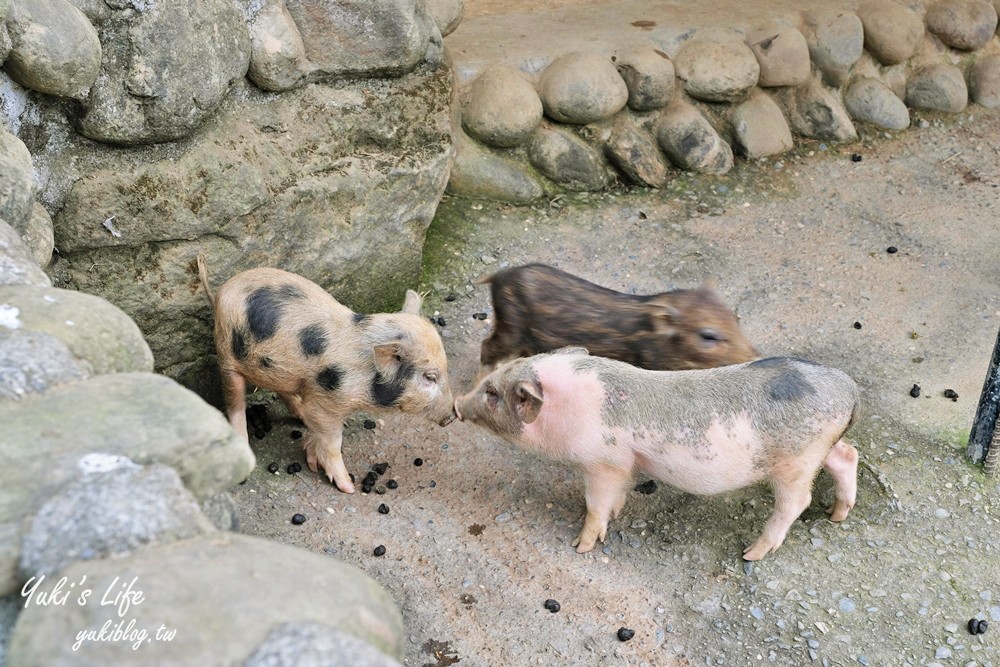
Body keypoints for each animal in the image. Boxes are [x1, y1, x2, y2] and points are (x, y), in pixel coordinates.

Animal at [196, 253, 454, 494]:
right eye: (429, 377)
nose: (451, 416)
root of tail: (221, 291)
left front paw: (313, 457)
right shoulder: (326, 401)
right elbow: (332, 441)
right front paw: (347, 486)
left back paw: (299, 414)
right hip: (227, 355)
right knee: (235, 403)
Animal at [458, 350, 856, 564]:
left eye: (492, 393)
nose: (457, 405)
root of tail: (849, 388)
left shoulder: (600, 461)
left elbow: (595, 504)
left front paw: (580, 546)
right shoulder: (621, 465)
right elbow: (617, 495)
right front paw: (616, 513)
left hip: (797, 462)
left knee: (796, 501)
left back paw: (751, 554)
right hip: (822, 450)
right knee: (847, 455)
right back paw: (836, 515)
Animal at [478, 264, 756, 374]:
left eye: (736, 318)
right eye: (708, 336)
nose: (755, 357)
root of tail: (499, 275)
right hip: (509, 326)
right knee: (487, 347)